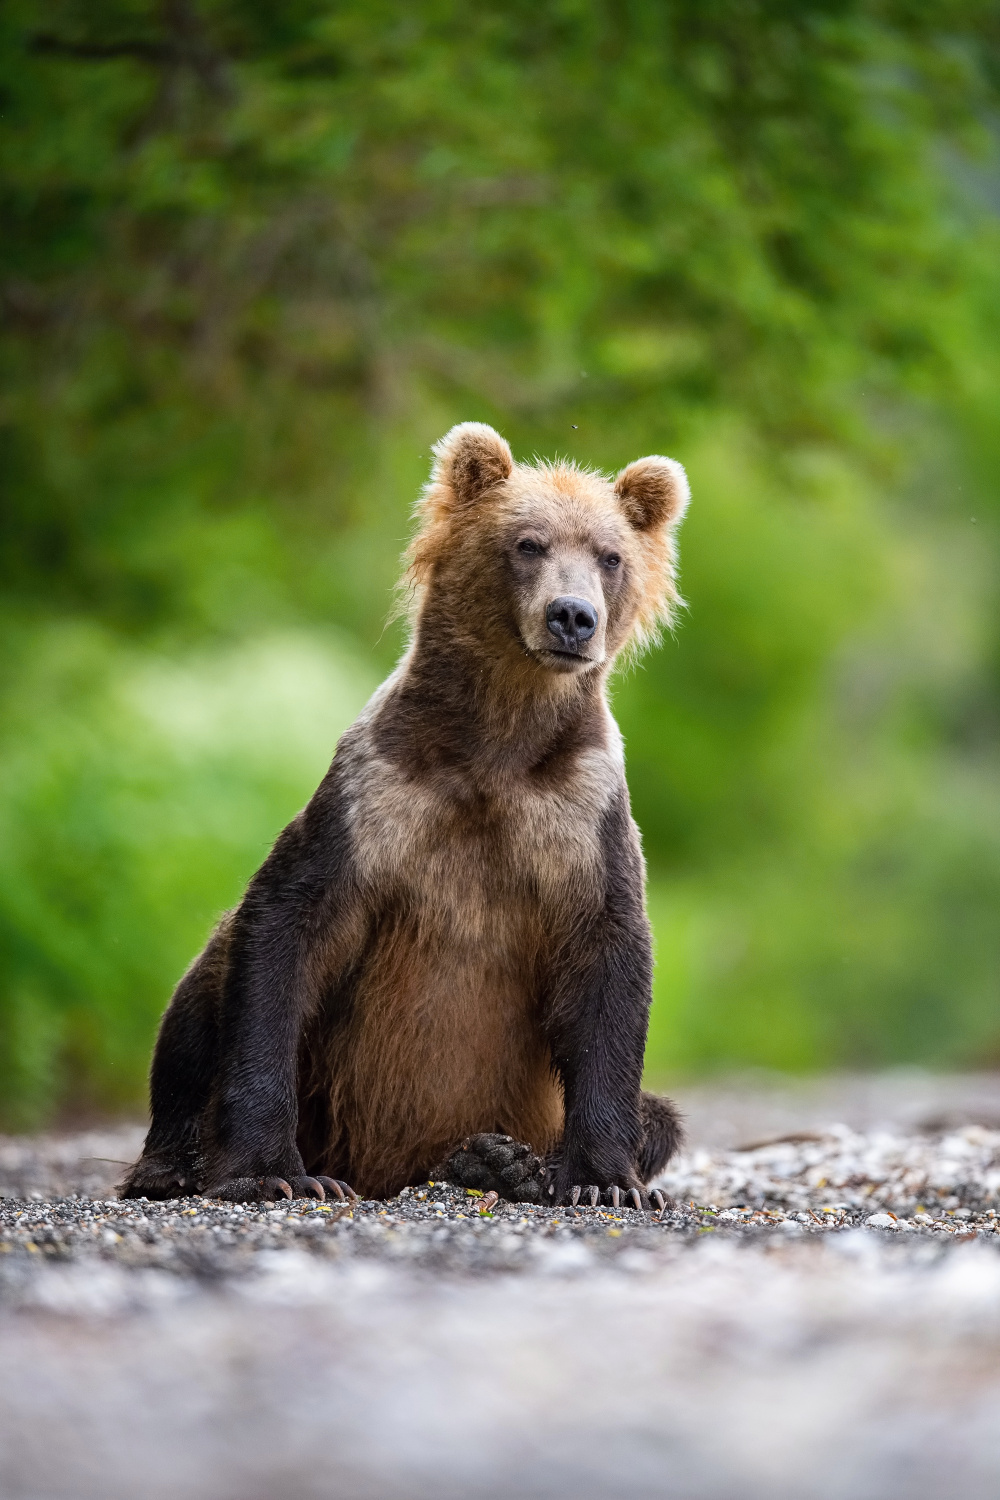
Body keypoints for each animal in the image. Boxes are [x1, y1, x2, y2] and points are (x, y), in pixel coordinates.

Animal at [122, 423, 689, 1206]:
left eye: (610, 556)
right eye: (528, 543)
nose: (573, 616)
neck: (497, 742)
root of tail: (393, 1169)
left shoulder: (580, 814)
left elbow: (609, 964)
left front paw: (604, 1182)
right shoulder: (377, 796)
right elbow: (283, 931)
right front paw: (272, 1172)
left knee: (659, 1115)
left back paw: (503, 1162)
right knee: (201, 995)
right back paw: (175, 1164)